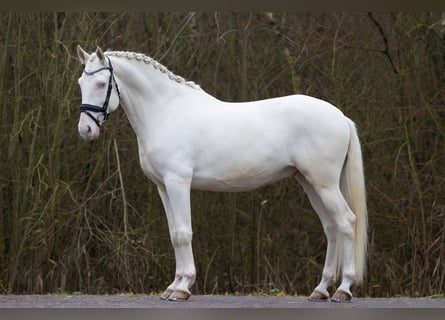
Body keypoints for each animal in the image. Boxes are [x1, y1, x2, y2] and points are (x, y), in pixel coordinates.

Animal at [77, 45, 368, 302]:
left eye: (101, 84)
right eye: (81, 82)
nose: (85, 130)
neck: (167, 113)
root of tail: (340, 117)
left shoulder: (178, 183)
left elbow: (183, 233)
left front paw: (182, 288)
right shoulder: (162, 187)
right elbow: (174, 234)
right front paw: (173, 285)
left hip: (325, 183)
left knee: (346, 222)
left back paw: (343, 289)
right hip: (309, 182)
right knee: (330, 227)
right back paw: (320, 290)